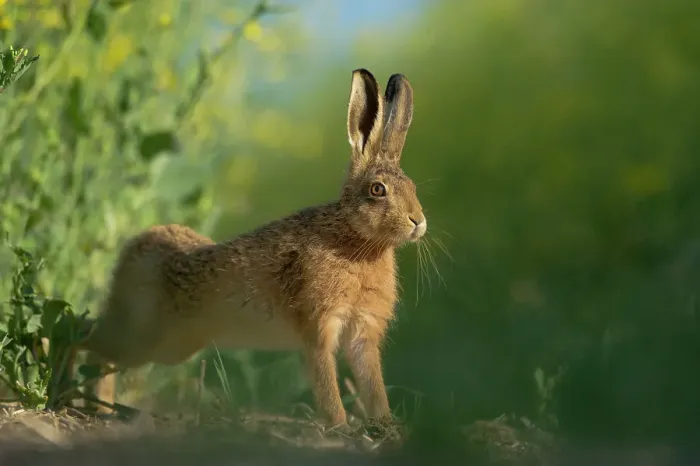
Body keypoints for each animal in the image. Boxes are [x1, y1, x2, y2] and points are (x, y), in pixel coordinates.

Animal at [75, 68, 427, 431]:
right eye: (377, 190)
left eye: (413, 187)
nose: (418, 221)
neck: (356, 240)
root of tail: (132, 248)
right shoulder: (318, 327)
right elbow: (327, 385)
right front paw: (340, 428)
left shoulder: (363, 334)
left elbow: (373, 385)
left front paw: (387, 427)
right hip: (143, 335)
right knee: (85, 337)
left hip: (173, 344)